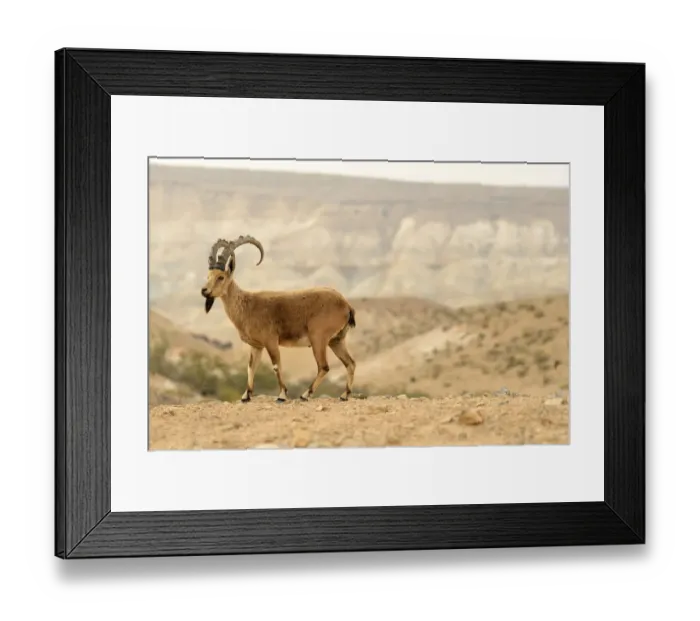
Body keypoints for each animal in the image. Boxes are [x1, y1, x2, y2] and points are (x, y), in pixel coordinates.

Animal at [200, 236, 357, 404]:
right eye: (208, 276)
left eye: (220, 277)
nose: (204, 290)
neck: (247, 306)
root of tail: (346, 305)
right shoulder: (256, 346)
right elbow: (251, 367)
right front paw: (246, 395)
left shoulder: (271, 341)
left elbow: (276, 366)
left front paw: (282, 395)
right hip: (336, 340)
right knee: (350, 363)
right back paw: (344, 395)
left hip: (318, 338)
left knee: (324, 366)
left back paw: (305, 394)